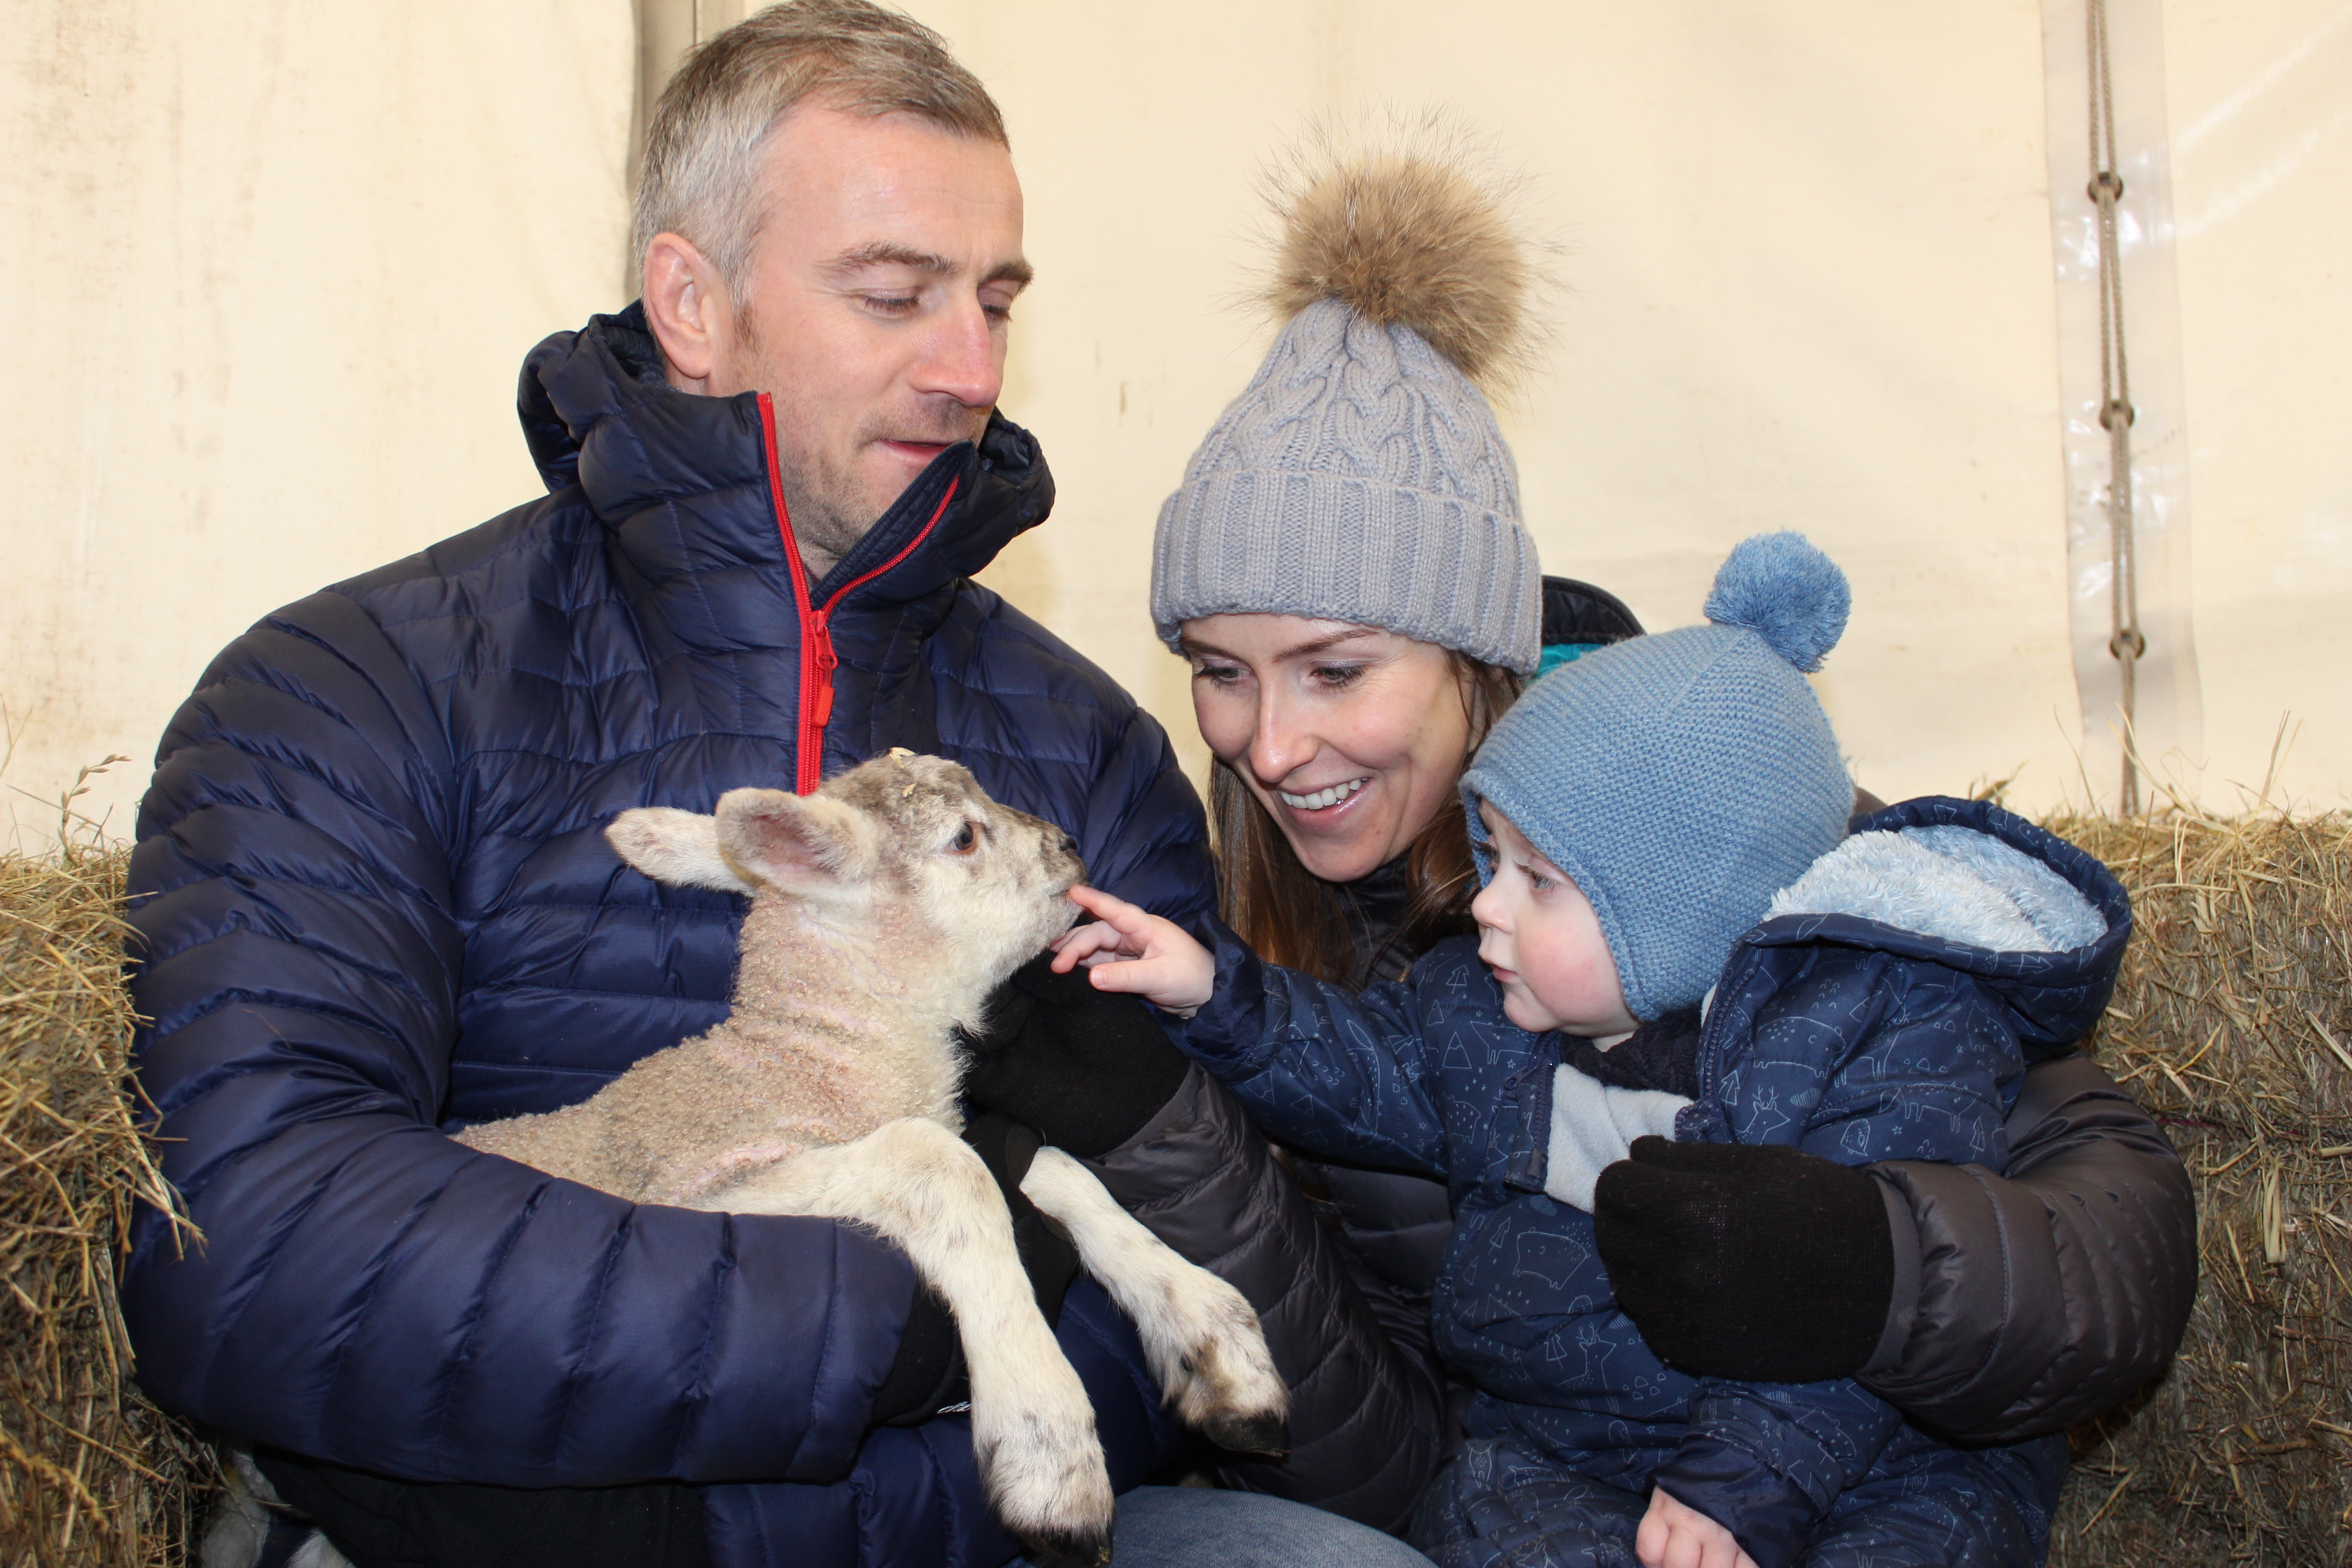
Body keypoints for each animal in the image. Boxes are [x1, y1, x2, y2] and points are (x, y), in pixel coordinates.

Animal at [451, 752, 1288, 1561]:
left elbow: (1050, 1167)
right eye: (963, 837)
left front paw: (1219, 1346)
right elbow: (943, 1165)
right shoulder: (706, 1184)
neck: (802, 1065)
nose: (1068, 845)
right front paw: (1048, 1448)